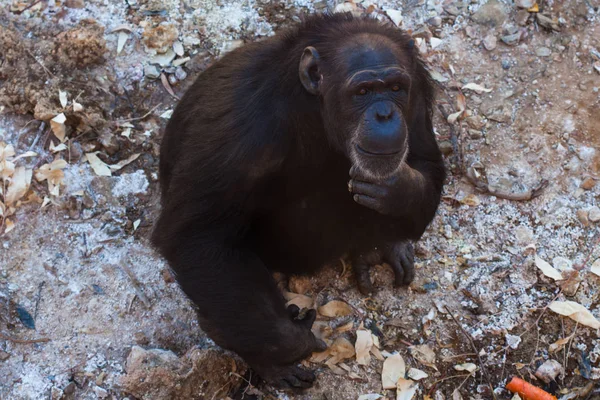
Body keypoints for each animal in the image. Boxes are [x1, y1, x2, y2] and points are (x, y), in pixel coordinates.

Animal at [154, 13, 446, 390]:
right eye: (363, 92)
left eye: (395, 88)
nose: (384, 114)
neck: (313, 108)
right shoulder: (242, 131)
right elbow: (199, 236)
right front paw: (290, 342)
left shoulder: (418, 92)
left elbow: (426, 160)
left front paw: (400, 189)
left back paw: (380, 245)